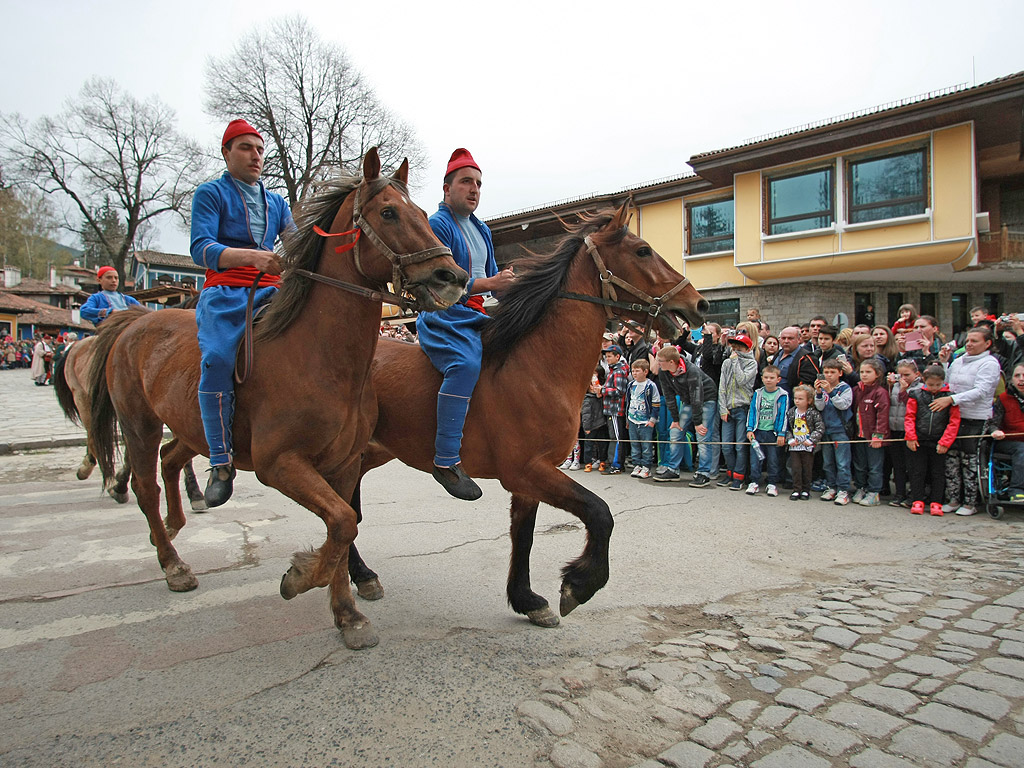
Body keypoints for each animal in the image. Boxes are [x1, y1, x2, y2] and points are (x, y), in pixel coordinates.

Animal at [88, 148, 468, 651]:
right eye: (388, 213)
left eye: (424, 214)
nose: (453, 277)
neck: (318, 356)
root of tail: (135, 319)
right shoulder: (280, 463)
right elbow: (342, 523)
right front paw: (300, 577)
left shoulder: (344, 464)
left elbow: (344, 523)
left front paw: (347, 614)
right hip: (139, 424)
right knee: (145, 485)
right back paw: (173, 563)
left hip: (188, 426)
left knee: (170, 461)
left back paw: (178, 519)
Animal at [348, 201, 708, 626]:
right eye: (642, 251)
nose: (698, 304)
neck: (536, 365)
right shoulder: (526, 470)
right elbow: (600, 513)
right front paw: (579, 584)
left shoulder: (533, 475)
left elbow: (525, 535)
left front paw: (527, 599)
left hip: (370, 452)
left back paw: (360, 574)